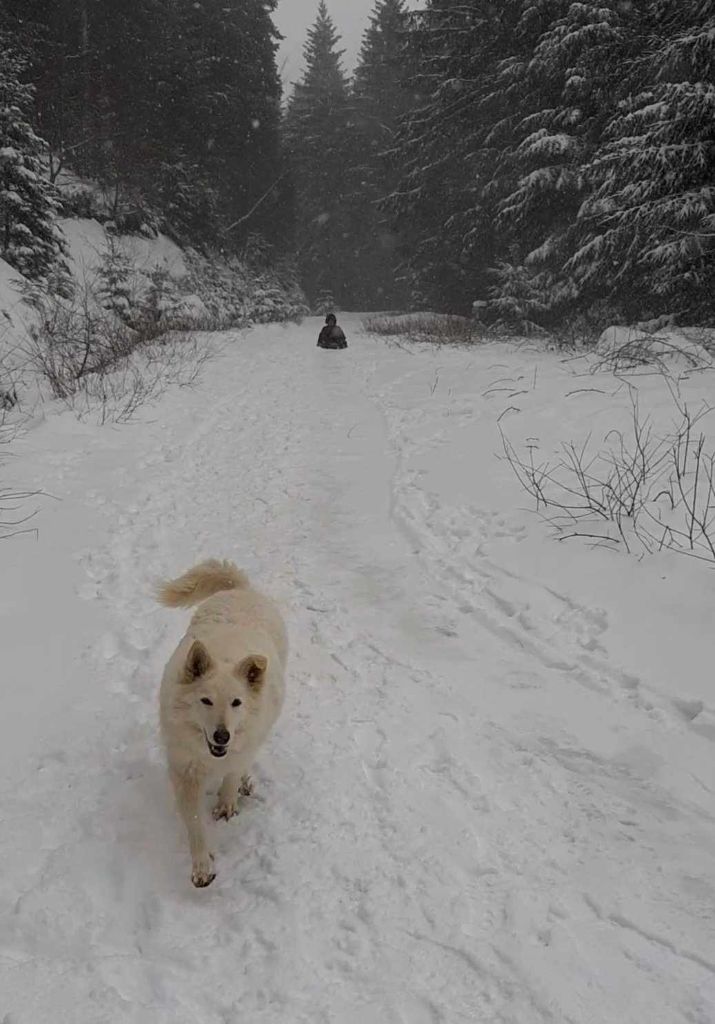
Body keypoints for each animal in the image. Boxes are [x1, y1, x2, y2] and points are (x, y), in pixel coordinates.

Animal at [156, 560, 287, 888]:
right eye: (206, 701)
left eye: (236, 703)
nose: (222, 736)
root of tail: (242, 589)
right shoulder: (184, 771)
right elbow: (194, 824)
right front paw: (202, 866)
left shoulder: (240, 748)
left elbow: (232, 774)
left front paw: (227, 803)